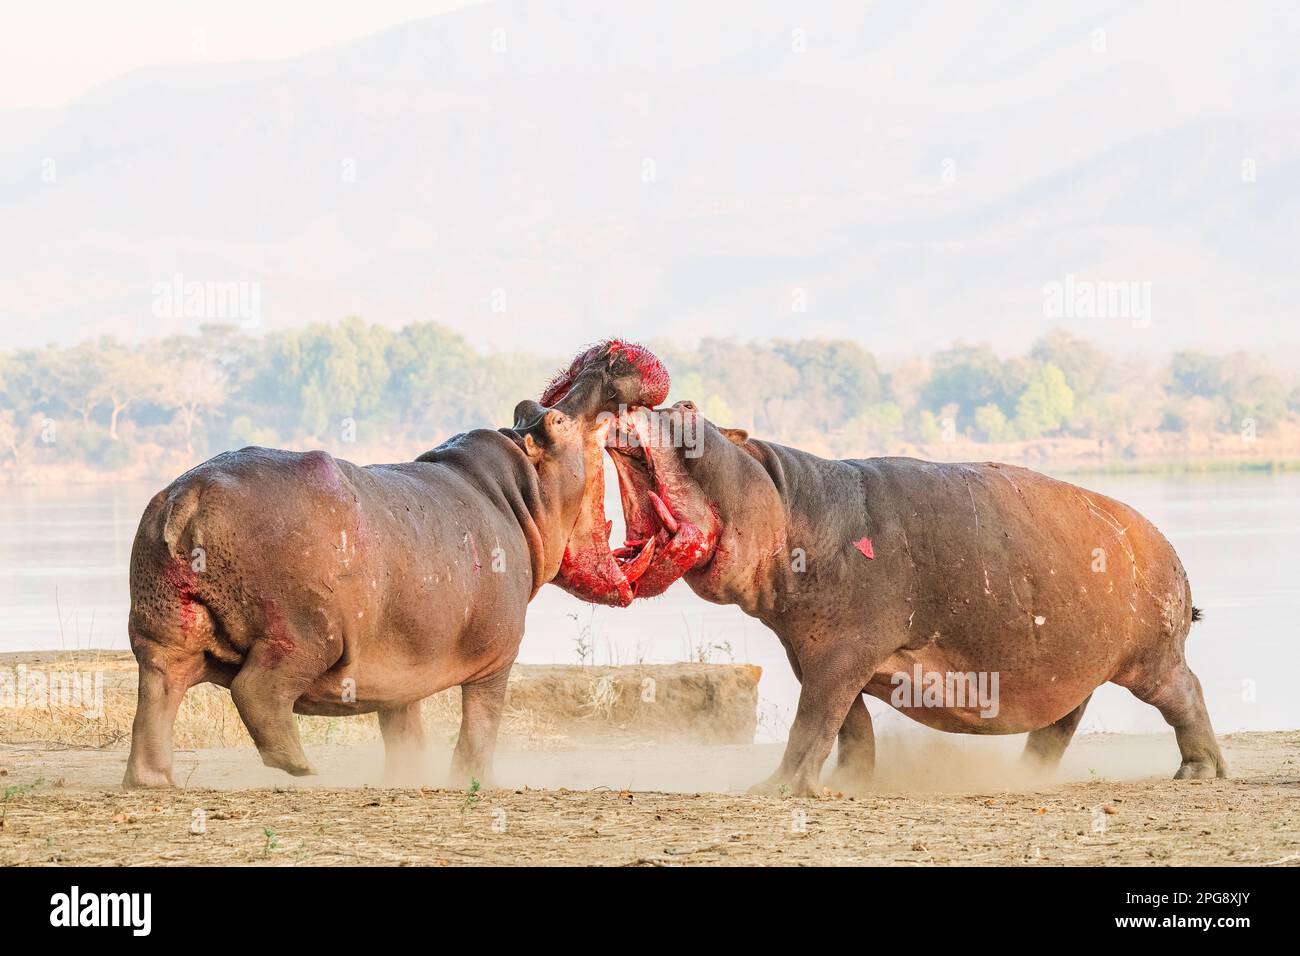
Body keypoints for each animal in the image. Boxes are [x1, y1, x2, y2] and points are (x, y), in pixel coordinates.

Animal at [123, 342, 668, 789]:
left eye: (529, 407)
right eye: (556, 422)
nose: (606, 359)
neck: (523, 491)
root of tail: (187, 496)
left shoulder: (405, 661)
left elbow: (404, 727)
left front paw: (409, 775)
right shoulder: (499, 655)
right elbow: (482, 722)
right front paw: (475, 782)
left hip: (163, 629)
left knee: (158, 693)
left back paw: (154, 780)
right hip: (305, 633)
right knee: (256, 690)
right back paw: (301, 768)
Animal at [543, 358, 1226, 797]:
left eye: (687, 409)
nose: (628, 396)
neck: (786, 500)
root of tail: (1168, 547)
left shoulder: (843, 650)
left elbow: (813, 720)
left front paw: (775, 788)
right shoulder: (812, 650)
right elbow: (848, 724)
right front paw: (849, 781)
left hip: (1150, 658)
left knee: (1187, 696)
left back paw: (1198, 773)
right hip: (1073, 662)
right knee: (1061, 721)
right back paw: (1025, 777)